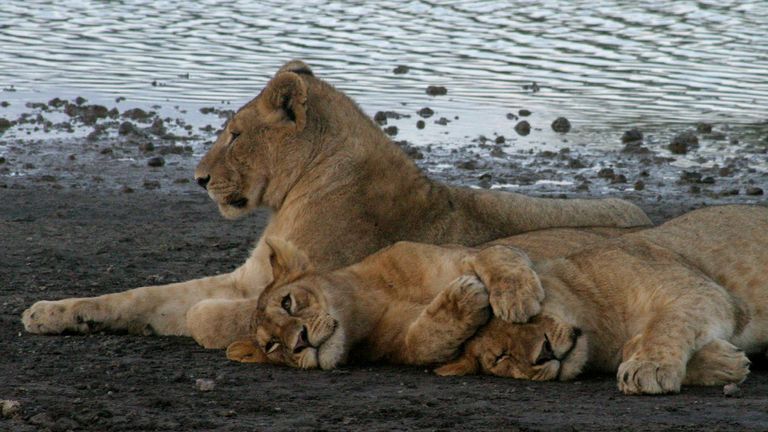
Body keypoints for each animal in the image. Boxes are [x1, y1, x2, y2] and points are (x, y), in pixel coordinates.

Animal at [21, 60, 650, 349]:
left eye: (235, 134)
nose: (198, 179)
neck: (301, 189)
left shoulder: (282, 283)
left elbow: (199, 311)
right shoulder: (246, 276)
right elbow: (139, 296)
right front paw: (51, 311)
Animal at [436, 205, 768, 395]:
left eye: (529, 317)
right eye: (501, 357)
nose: (544, 353)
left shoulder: (702, 291)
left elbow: (668, 323)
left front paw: (649, 367)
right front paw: (724, 363)